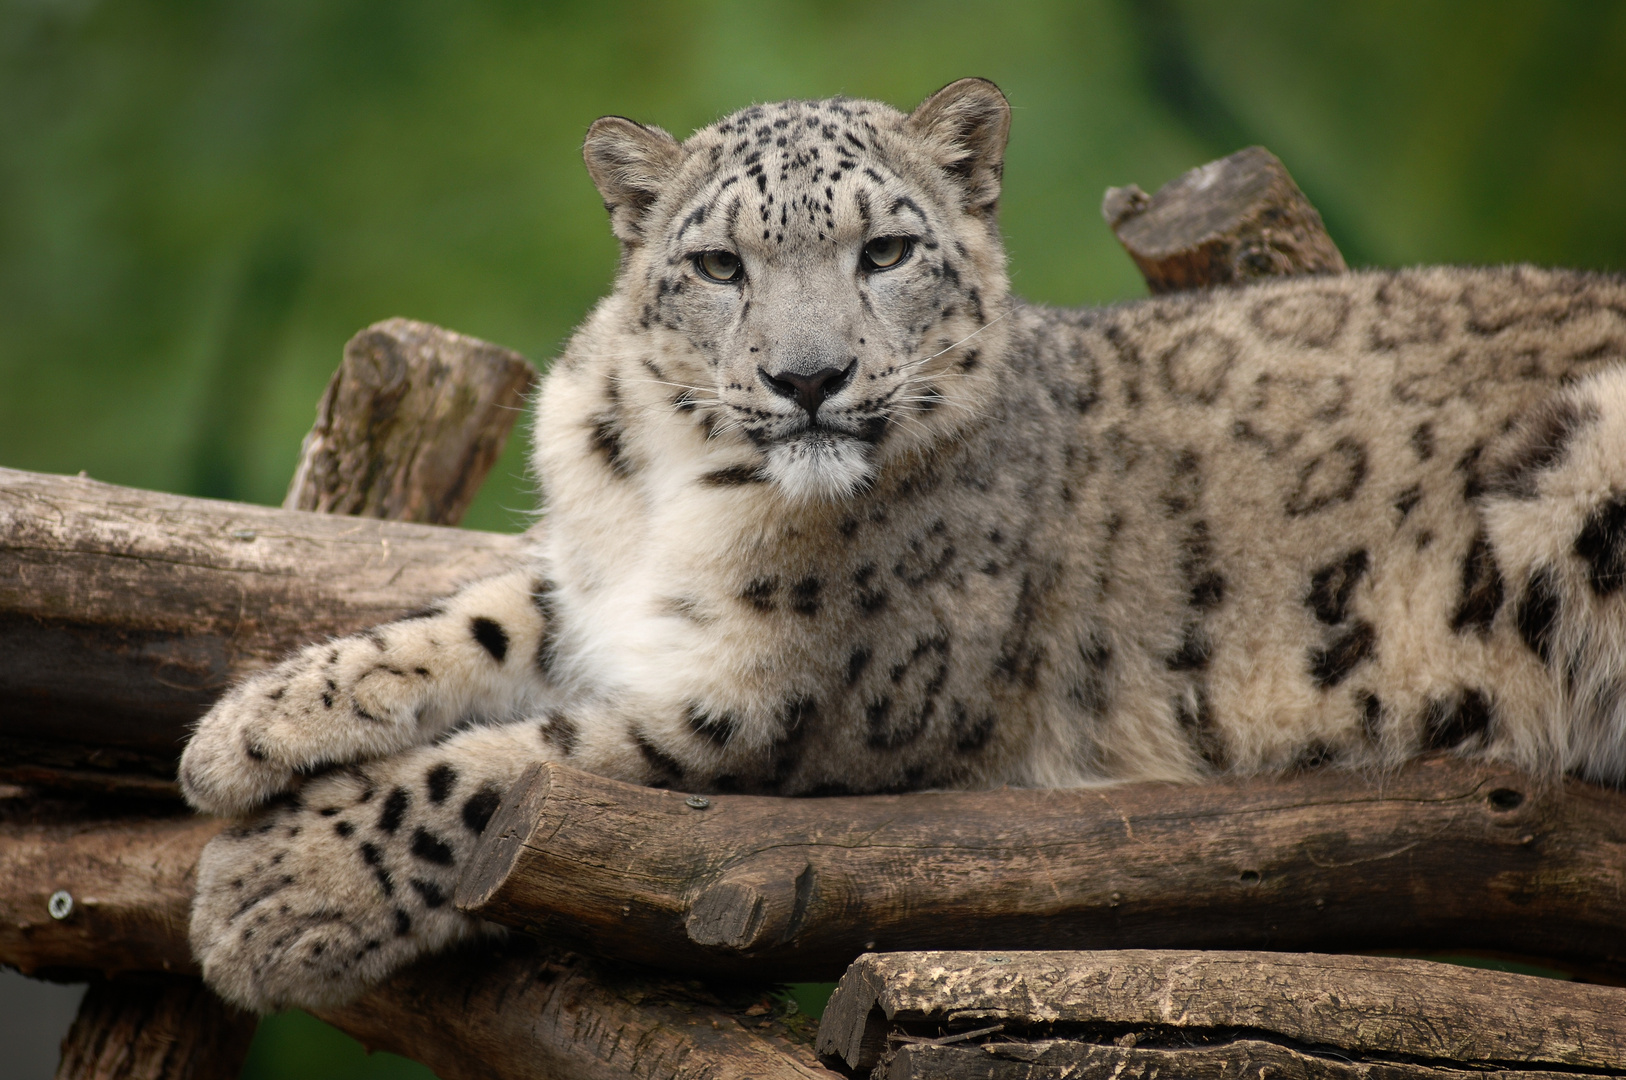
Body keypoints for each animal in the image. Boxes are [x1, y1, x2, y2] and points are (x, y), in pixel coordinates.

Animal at [184, 78, 1626, 1014]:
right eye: (717, 266)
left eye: (884, 249)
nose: (811, 377)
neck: (670, 493)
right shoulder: (600, 584)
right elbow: (487, 616)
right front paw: (243, 730)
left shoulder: (782, 714)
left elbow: (510, 766)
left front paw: (271, 891)